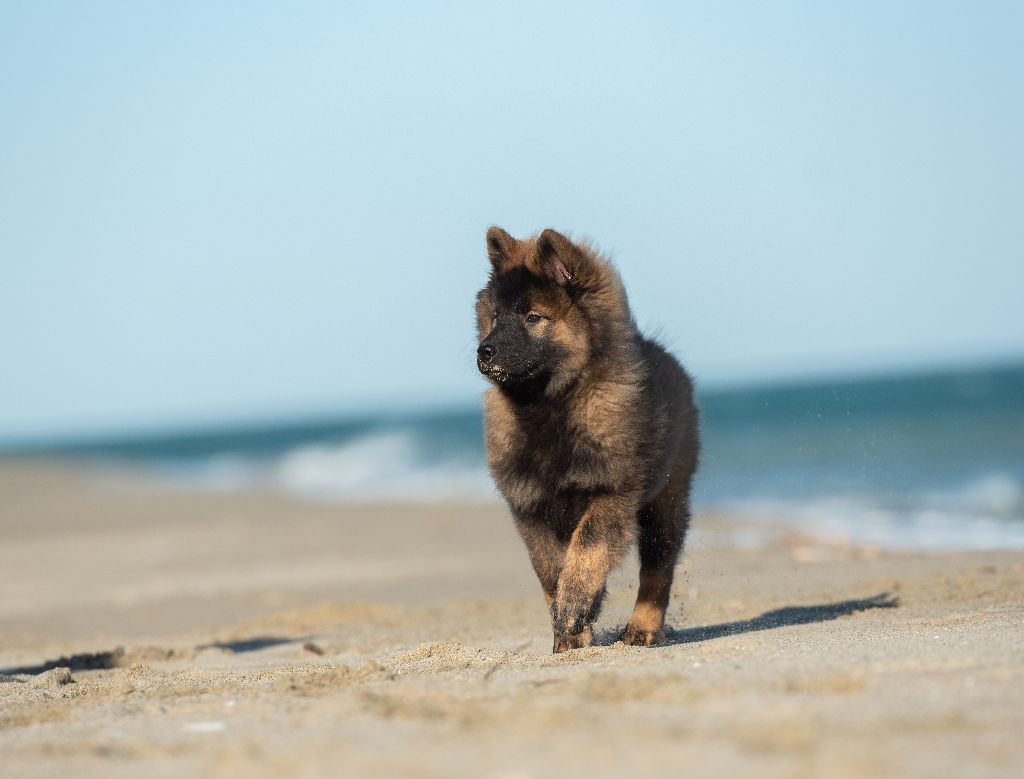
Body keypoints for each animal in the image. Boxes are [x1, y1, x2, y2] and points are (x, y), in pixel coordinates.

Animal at [475, 228, 700, 655]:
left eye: (532, 318)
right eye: (496, 317)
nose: (484, 351)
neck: (550, 405)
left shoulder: (611, 493)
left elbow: (588, 548)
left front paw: (576, 604)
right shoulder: (531, 508)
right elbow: (552, 571)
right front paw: (570, 632)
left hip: (666, 503)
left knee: (657, 571)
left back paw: (643, 630)